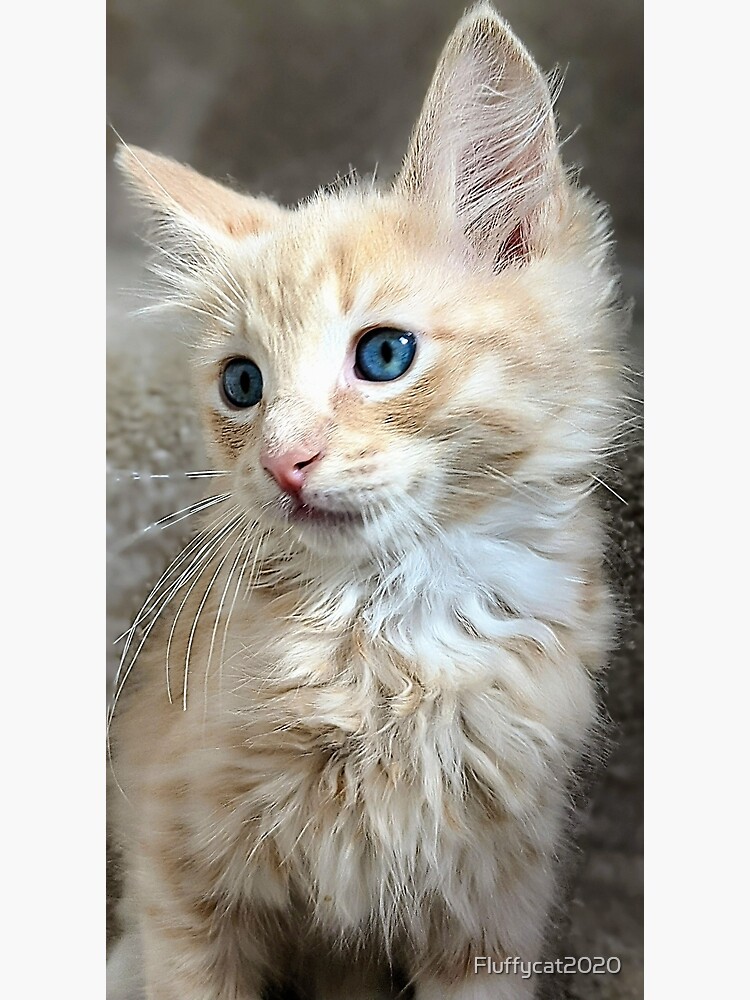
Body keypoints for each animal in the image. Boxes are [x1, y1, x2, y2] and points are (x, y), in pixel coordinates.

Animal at [110, 3, 628, 996]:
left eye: (384, 355)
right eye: (242, 385)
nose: (283, 462)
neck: (387, 632)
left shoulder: (493, 906)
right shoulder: (175, 868)